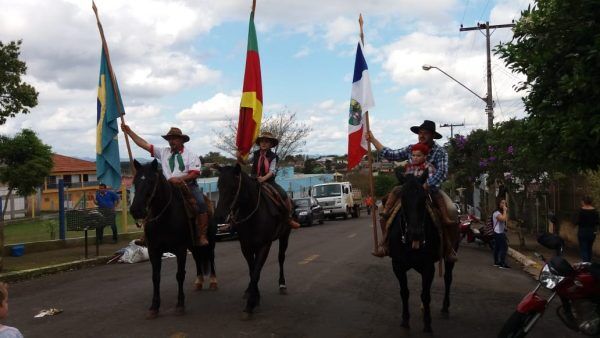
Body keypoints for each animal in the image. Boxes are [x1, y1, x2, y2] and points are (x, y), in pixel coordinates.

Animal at [131, 160, 213, 318]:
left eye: (151, 181)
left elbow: (180, 275)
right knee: (198, 259)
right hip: (193, 245)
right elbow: (156, 277)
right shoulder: (154, 251)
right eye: (135, 181)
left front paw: (180, 305)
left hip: (210, 242)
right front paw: (154, 307)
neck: (164, 216)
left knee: (211, 258)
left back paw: (213, 281)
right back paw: (199, 282)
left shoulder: (180, 250)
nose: (136, 210)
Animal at [214, 165, 292, 318]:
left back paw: (282, 285)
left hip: (285, 236)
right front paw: (254, 296)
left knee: (281, 258)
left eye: (233, 188)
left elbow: (256, 272)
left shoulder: (265, 245)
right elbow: (252, 270)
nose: (219, 216)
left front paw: (251, 304)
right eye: (219, 186)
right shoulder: (246, 246)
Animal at [386, 173, 442, 332]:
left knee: (448, 280)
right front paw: (405, 320)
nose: (415, 234)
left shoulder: (429, 267)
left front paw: (428, 323)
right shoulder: (397, 265)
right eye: (403, 197)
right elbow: (404, 292)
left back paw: (445, 308)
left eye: (423, 197)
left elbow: (426, 295)